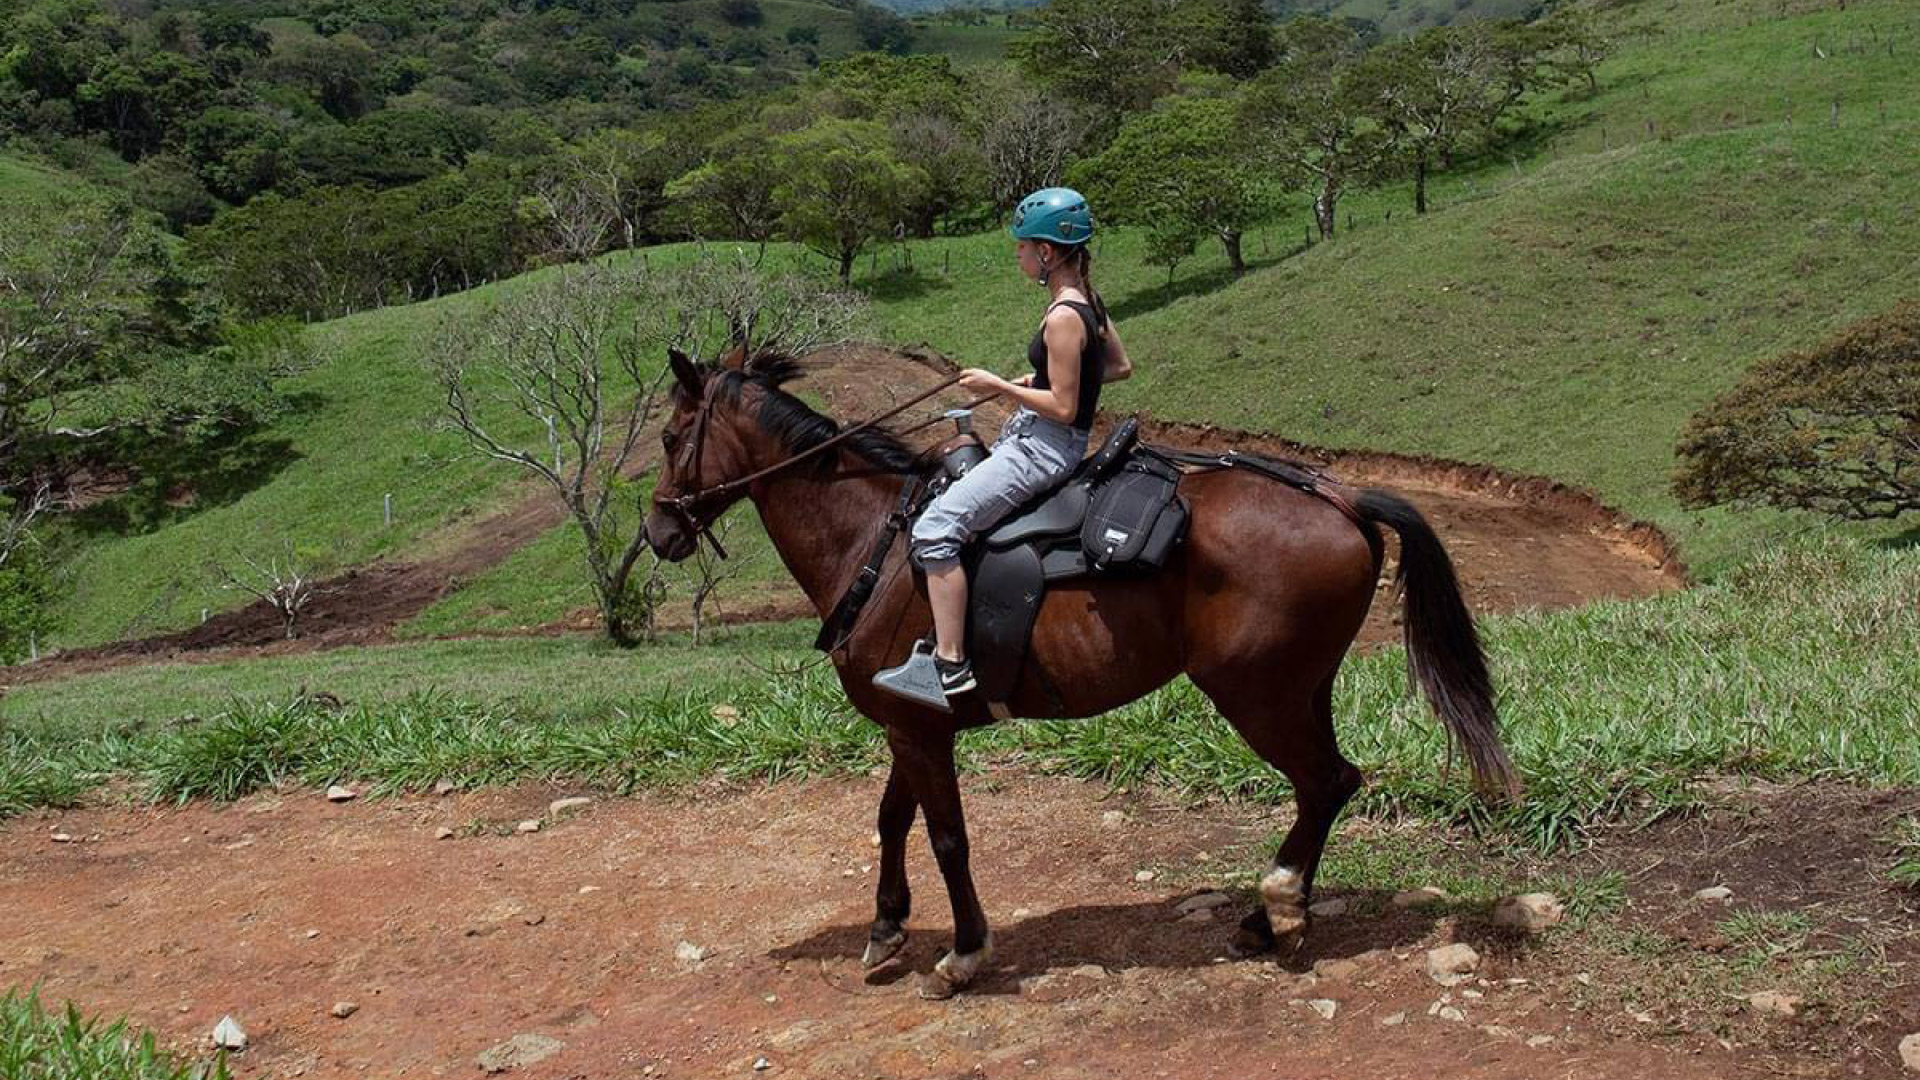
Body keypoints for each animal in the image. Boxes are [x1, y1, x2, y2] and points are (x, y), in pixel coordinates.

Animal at [645, 343, 1512, 991]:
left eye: (669, 437)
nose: (658, 530)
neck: (877, 540)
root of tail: (1339, 495)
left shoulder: (922, 730)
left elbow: (947, 836)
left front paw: (964, 952)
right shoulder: (908, 722)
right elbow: (893, 820)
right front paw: (887, 927)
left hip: (1255, 693)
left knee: (1325, 782)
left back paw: (1278, 908)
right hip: (1303, 688)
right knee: (1326, 785)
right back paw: (1269, 917)